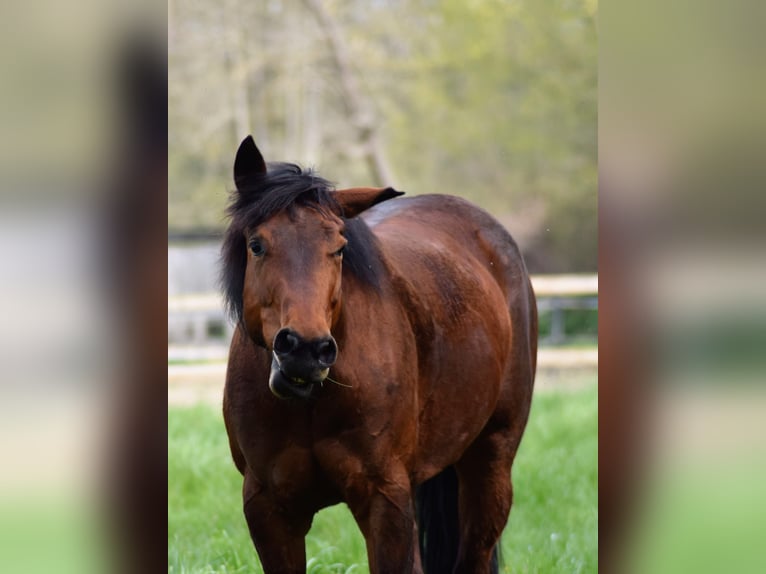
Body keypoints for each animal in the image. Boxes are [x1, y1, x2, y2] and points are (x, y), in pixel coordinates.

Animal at [219, 136, 536, 574]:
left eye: (338, 248)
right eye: (257, 245)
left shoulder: (384, 500)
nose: (306, 349)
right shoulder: (269, 509)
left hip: (490, 464)